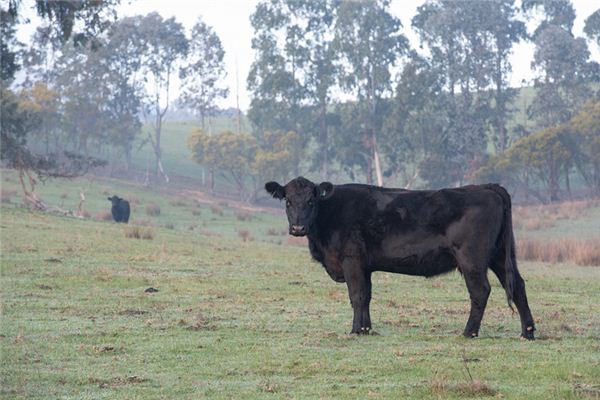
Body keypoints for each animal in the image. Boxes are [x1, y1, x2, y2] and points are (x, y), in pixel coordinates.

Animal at [264, 177, 536, 340]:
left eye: (311, 200)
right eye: (288, 201)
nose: (298, 228)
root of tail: (486, 186)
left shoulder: (351, 260)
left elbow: (357, 295)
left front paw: (355, 330)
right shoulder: (365, 266)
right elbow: (366, 296)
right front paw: (366, 328)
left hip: (472, 259)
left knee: (480, 291)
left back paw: (468, 332)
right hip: (500, 255)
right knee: (519, 287)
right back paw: (528, 332)